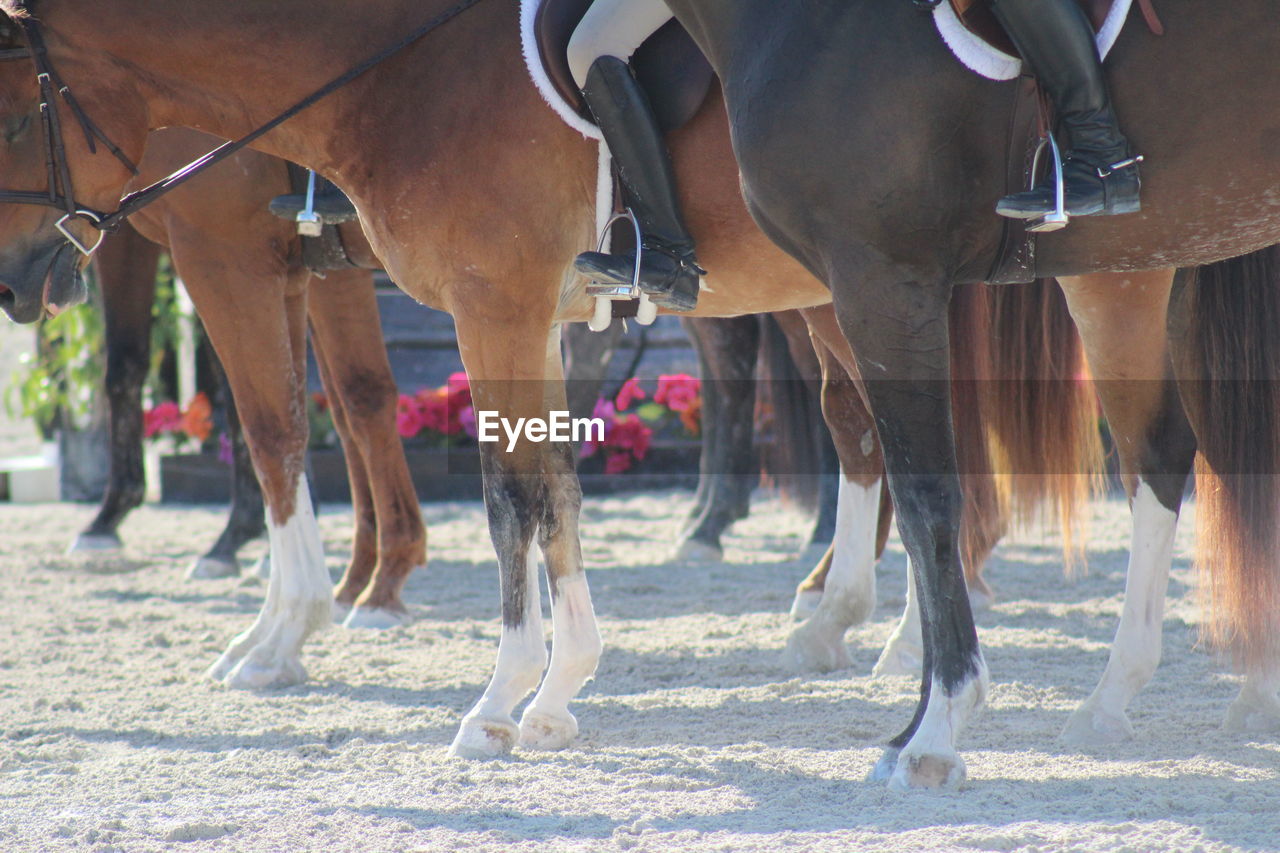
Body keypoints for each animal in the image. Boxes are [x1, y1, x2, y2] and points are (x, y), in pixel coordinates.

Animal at [0, 1, 1264, 783]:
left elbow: (338, 448)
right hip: (1087, 274)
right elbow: (530, 481)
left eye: (13, 115)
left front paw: (413, 671)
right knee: (1124, 453)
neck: (400, 65)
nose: (19, 282)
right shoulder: (511, 311)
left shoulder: (374, 282)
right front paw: (546, 688)